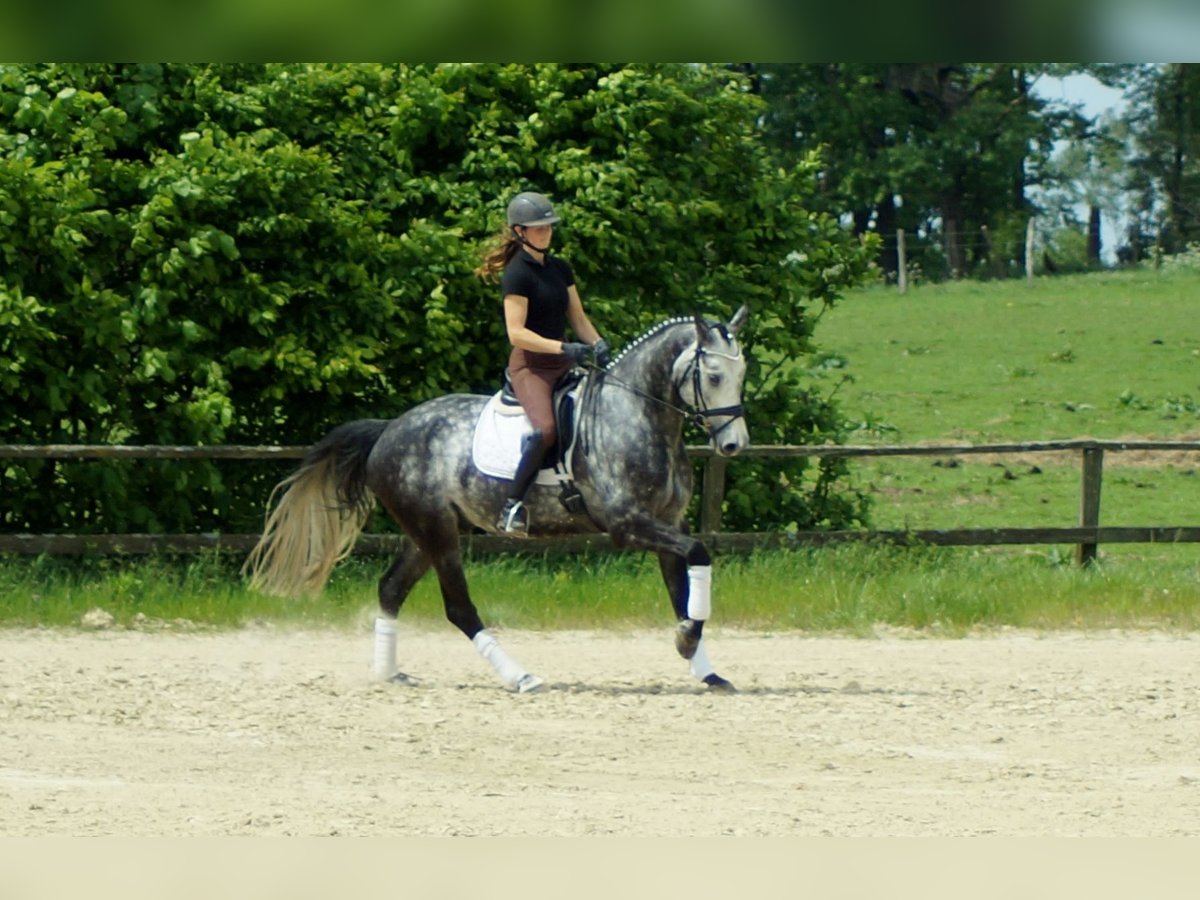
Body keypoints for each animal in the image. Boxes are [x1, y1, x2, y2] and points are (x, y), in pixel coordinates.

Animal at [243, 307, 748, 696]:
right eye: (714, 376)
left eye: (742, 375)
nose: (734, 445)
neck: (639, 416)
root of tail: (389, 429)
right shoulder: (629, 524)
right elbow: (699, 557)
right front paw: (686, 642)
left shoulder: (669, 522)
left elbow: (682, 591)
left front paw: (703, 665)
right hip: (437, 532)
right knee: (459, 609)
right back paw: (520, 676)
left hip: (429, 531)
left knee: (390, 589)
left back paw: (388, 674)